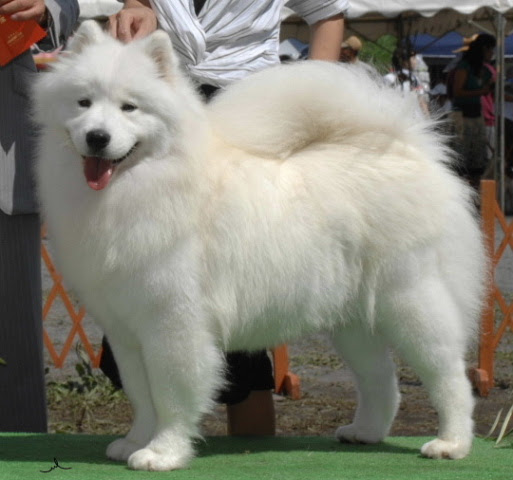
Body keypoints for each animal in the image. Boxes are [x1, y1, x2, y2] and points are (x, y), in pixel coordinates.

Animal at [34, 20, 486, 470]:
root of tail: (407, 149)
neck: (139, 185)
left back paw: (451, 443)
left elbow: (170, 396)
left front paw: (164, 452)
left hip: (412, 299)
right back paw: (365, 432)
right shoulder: (126, 330)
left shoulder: (173, 322)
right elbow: (141, 396)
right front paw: (133, 442)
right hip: (354, 321)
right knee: (380, 380)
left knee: (449, 376)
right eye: (83, 102)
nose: (97, 137)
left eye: (129, 107)